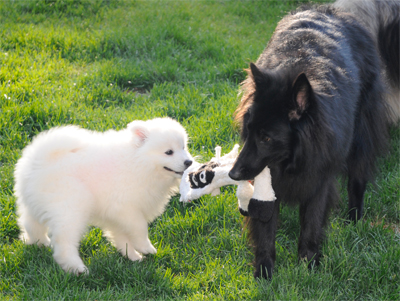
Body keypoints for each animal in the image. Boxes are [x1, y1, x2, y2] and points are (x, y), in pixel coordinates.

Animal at [14, 118, 192, 274]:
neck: (138, 162)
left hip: (36, 203)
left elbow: (122, 236)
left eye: (183, 147)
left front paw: (133, 256)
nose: (189, 162)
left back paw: (39, 242)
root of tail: (38, 160)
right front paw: (146, 248)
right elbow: (140, 227)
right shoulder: (127, 208)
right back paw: (77, 268)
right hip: (70, 208)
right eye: (169, 152)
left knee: (30, 223)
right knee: (64, 243)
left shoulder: (116, 214)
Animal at [230, 5, 390, 278]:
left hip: (362, 139)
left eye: (266, 138)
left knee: (357, 180)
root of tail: (331, 10)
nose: (233, 174)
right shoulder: (267, 181)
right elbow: (265, 228)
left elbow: (312, 224)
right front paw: (264, 272)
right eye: (248, 132)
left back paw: (353, 221)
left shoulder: (320, 179)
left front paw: (308, 266)